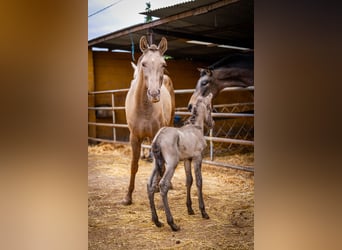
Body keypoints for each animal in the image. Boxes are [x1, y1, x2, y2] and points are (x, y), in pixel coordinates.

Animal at [123, 36, 175, 205]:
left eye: (163, 64)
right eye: (144, 64)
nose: (153, 94)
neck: (144, 108)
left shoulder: (155, 137)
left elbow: (159, 166)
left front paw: (158, 190)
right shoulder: (134, 137)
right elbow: (134, 165)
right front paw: (128, 197)